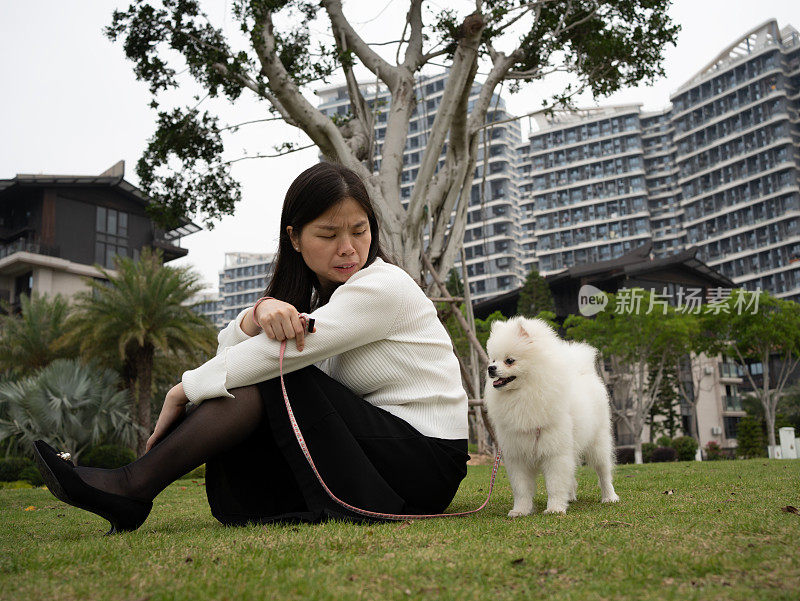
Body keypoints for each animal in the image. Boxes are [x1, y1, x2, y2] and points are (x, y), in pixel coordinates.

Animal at [482, 314, 620, 516]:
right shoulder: (517, 453)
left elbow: (555, 484)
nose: (490, 368)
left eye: (509, 360)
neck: (524, 394)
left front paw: (555, 508)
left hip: (598, 443)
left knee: (604, 472)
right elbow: (521, 488)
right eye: (492, 359)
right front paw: (520, 511)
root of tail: (583, 370)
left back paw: (609, 497)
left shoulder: (555, 451)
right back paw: (570, 497)